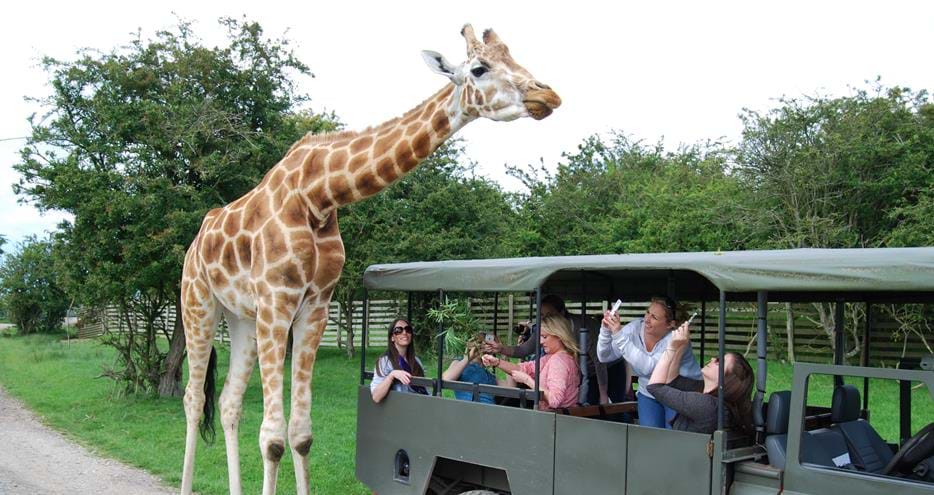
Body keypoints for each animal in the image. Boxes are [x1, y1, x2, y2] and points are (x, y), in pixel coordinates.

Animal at [179, 24, 561, 495]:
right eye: (479, 68)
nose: (547, 95)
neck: (319, 195)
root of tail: (196, 242)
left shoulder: (315, 307)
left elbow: (300, 434)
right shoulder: (277, 301)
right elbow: (272, 439)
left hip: (242, 319)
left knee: (229, 402)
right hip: (198, 304)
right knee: (193, 398)